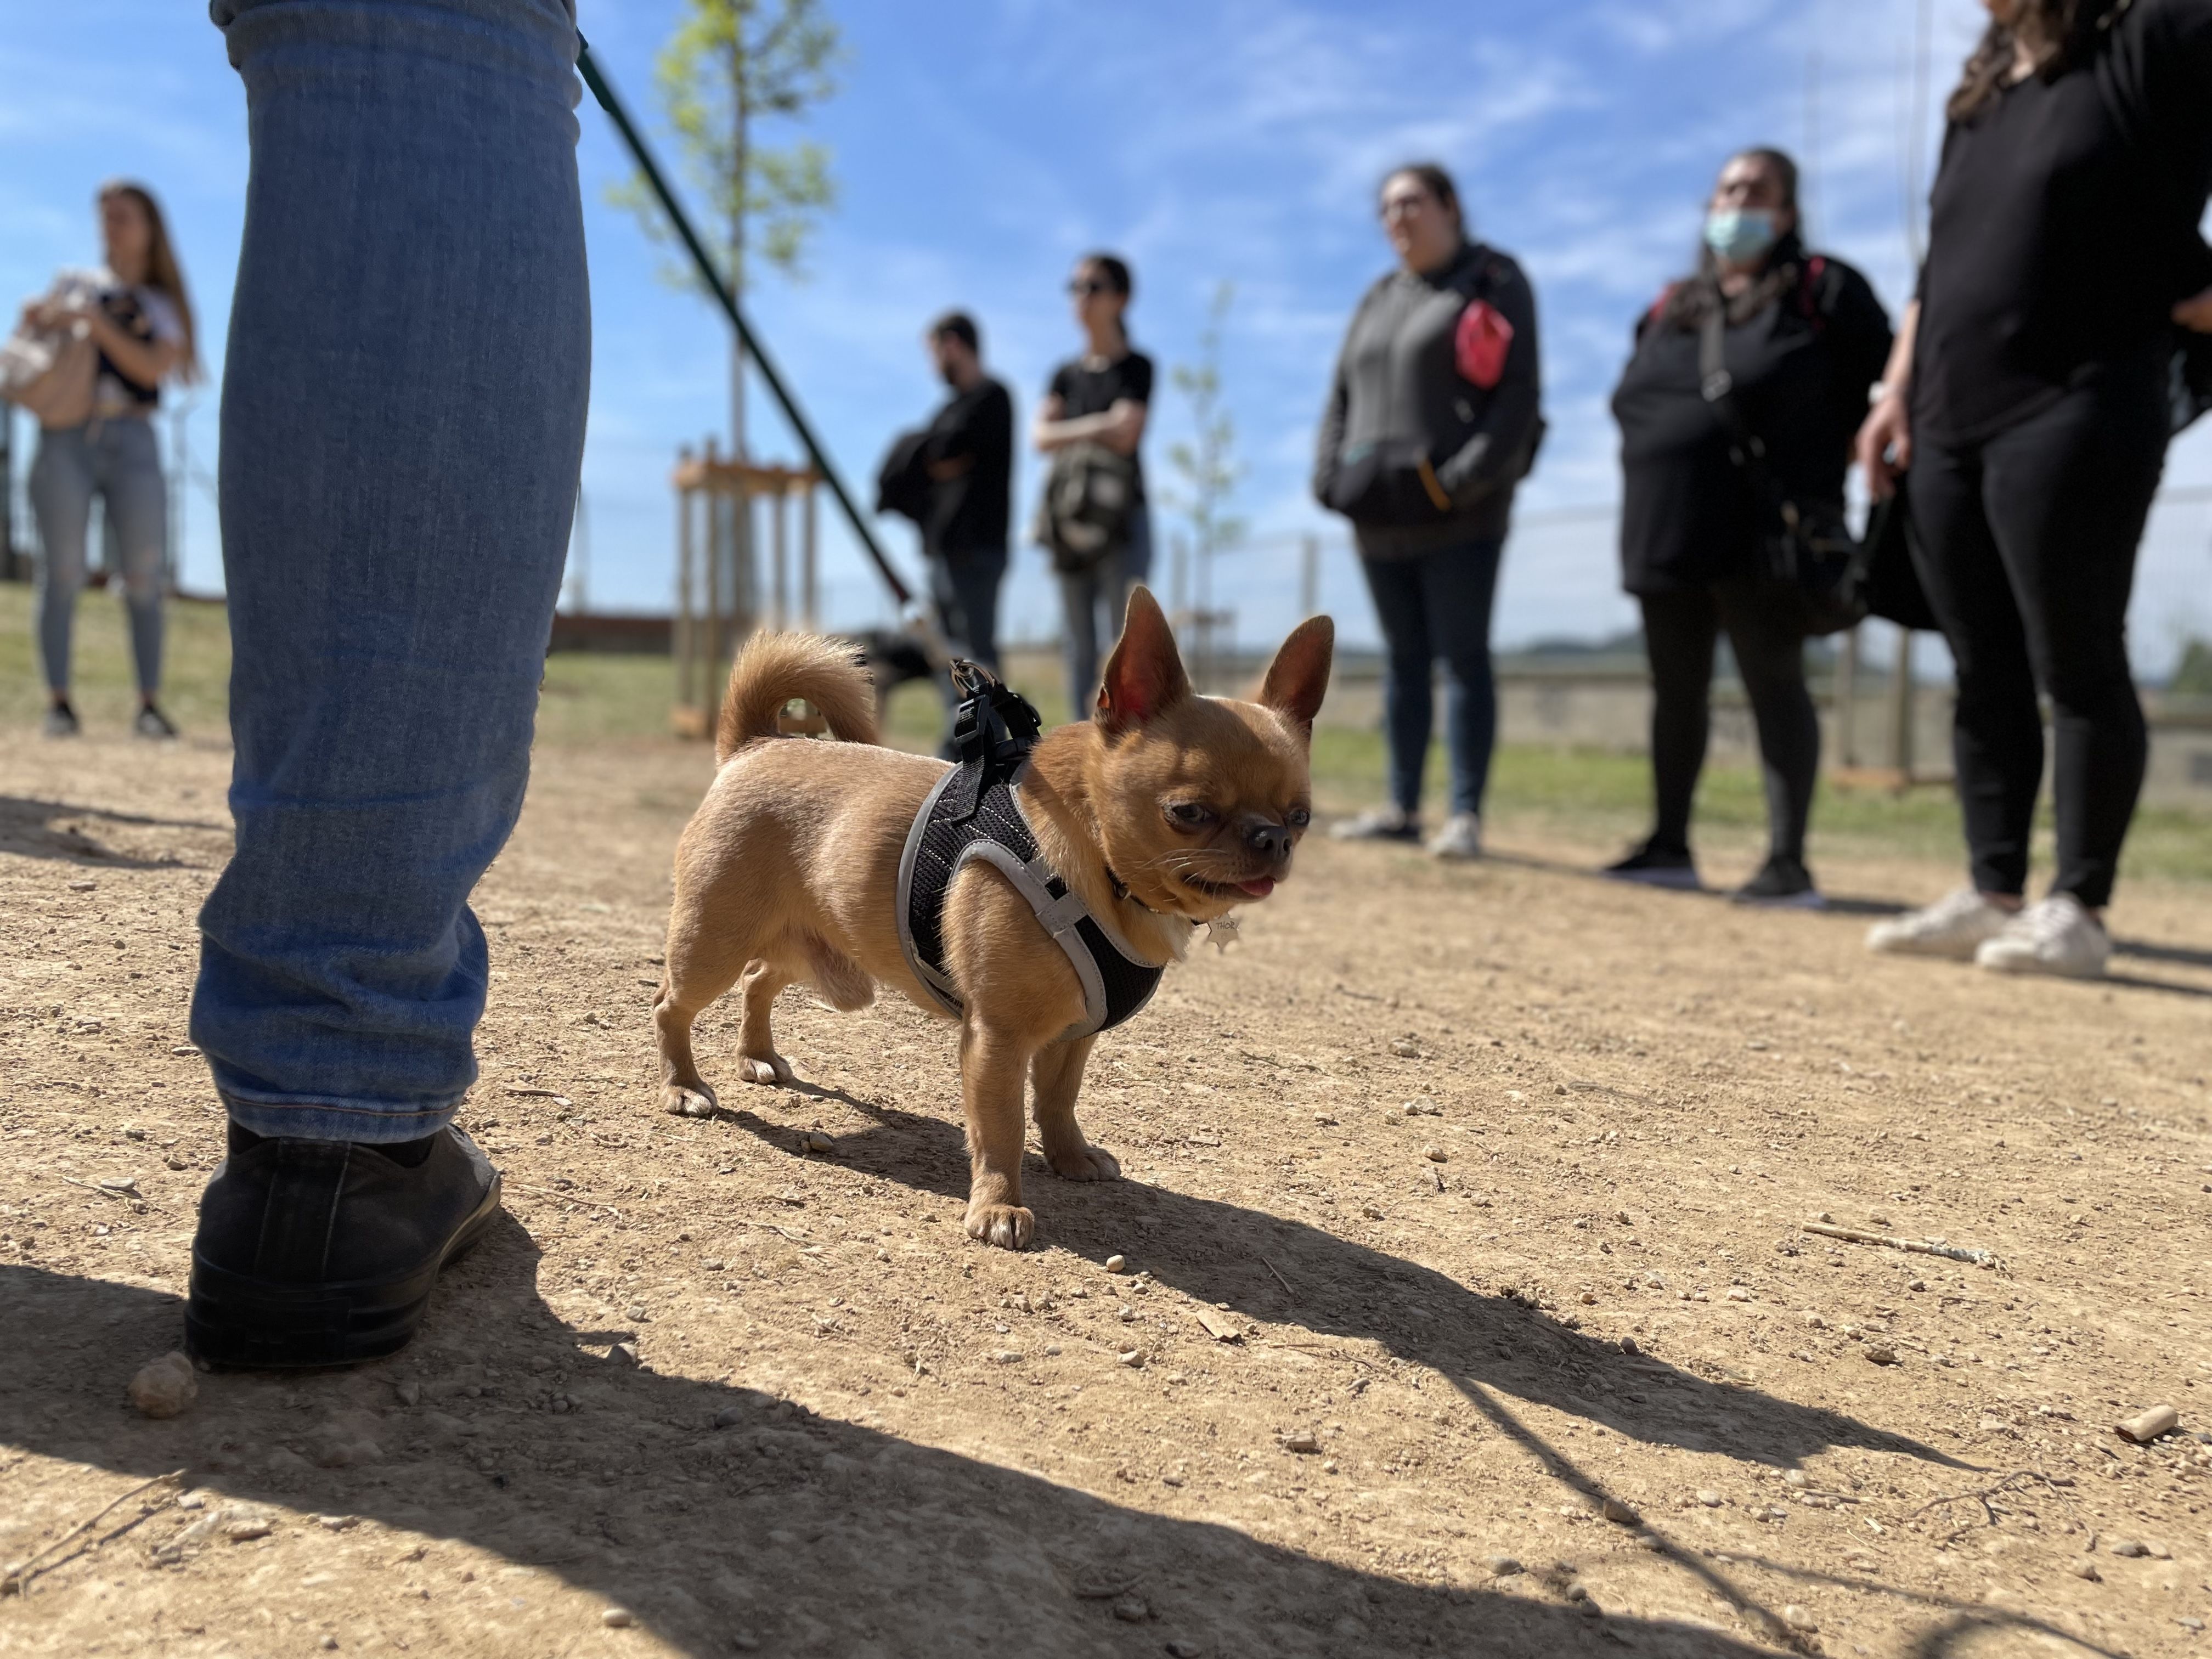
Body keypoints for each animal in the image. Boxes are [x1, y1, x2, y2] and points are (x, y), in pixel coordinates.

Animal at [654, 592, 1327, 1256]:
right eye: (1188, 813)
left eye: (1301, 818)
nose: (1271, 838)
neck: (1098, 863)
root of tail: (756, 745)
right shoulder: (998, 1040)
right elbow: (1002, 1126)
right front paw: (1000, 1206)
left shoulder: (1073, 1038)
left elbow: (1057, 1102)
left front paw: (1071, 1157)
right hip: (713, 946)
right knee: (672, 1005)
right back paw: (684, 1087)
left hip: (820, 960)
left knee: (759, 981)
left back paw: (757, 1057)